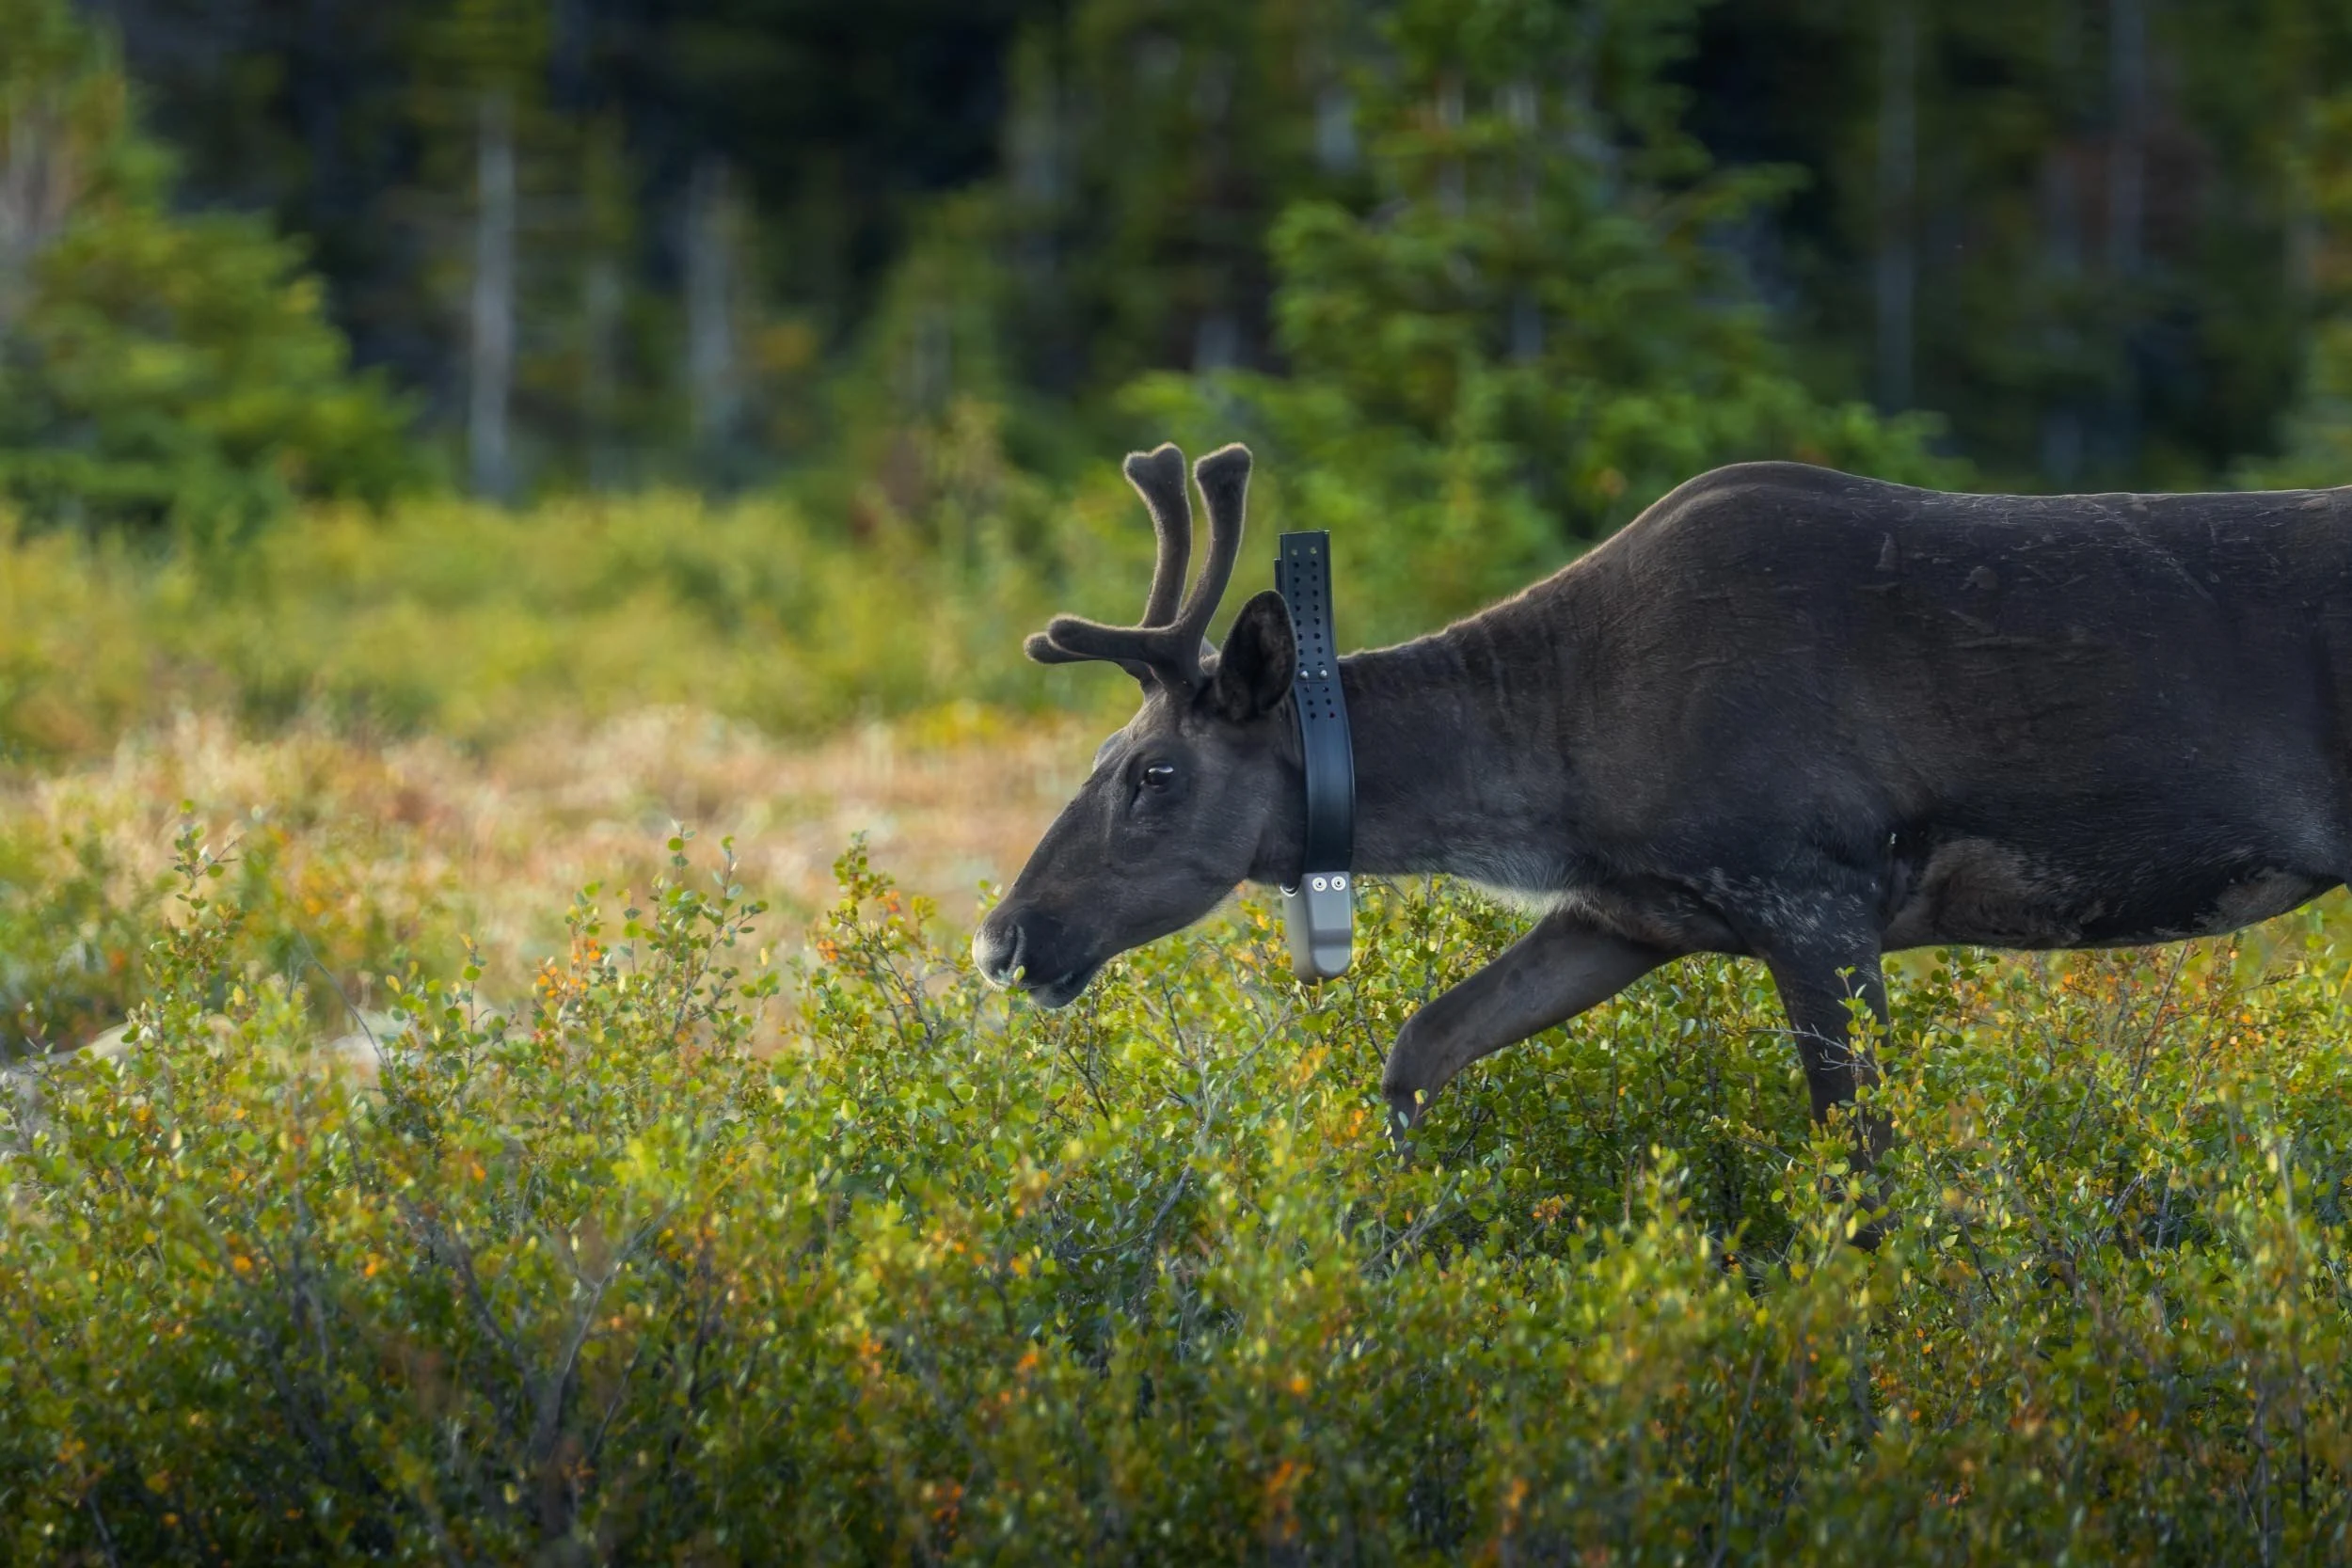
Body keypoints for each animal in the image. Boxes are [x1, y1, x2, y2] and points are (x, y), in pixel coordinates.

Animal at [975, 440, 2352, 1177]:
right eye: (1102, 752)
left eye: (1153, 774)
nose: (1003, 936)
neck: (1562, 759)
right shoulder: (1627, 913)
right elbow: (1422, 1043)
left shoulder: (1814, 891)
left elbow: (1863, 1158)